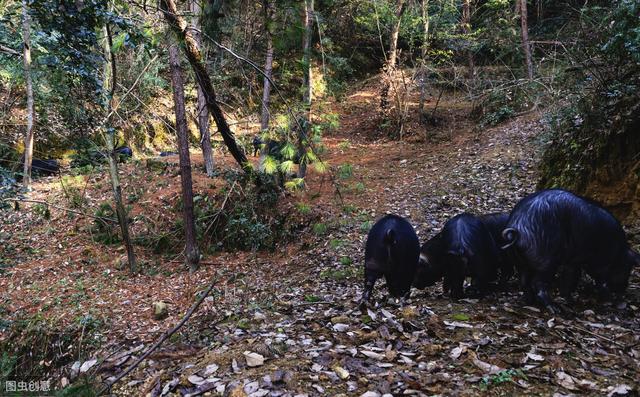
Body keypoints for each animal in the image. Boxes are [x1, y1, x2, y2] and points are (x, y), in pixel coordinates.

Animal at [502, 189, 636, 312]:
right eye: (627, 268)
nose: (623, 289)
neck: (617, 250)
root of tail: (517, 227)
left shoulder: (573, 260)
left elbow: (571, 277)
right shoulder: (592, 260)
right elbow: (585, 278)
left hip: (520, 261)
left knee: (524, 280)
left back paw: (530, 300)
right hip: (546, 261)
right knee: (537, 283)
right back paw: (554, 308)